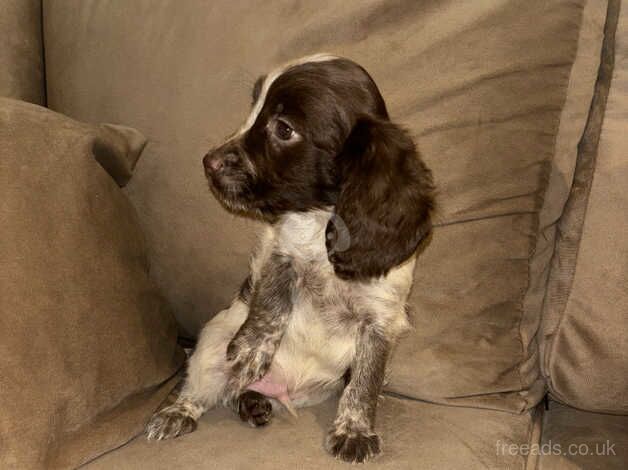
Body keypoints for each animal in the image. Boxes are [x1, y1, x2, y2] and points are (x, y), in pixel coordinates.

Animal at [147, 55, 434, 462]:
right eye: (253, 109)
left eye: (283, 129)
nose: (208, 161)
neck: (320, 219)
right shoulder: (278, 251)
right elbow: (271, 299)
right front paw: (251, 351)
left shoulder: (380, 319)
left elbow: (365, 382)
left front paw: (354, 430)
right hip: (211, 341)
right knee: (203, 388)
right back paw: (179, 411)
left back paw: (253, 402)